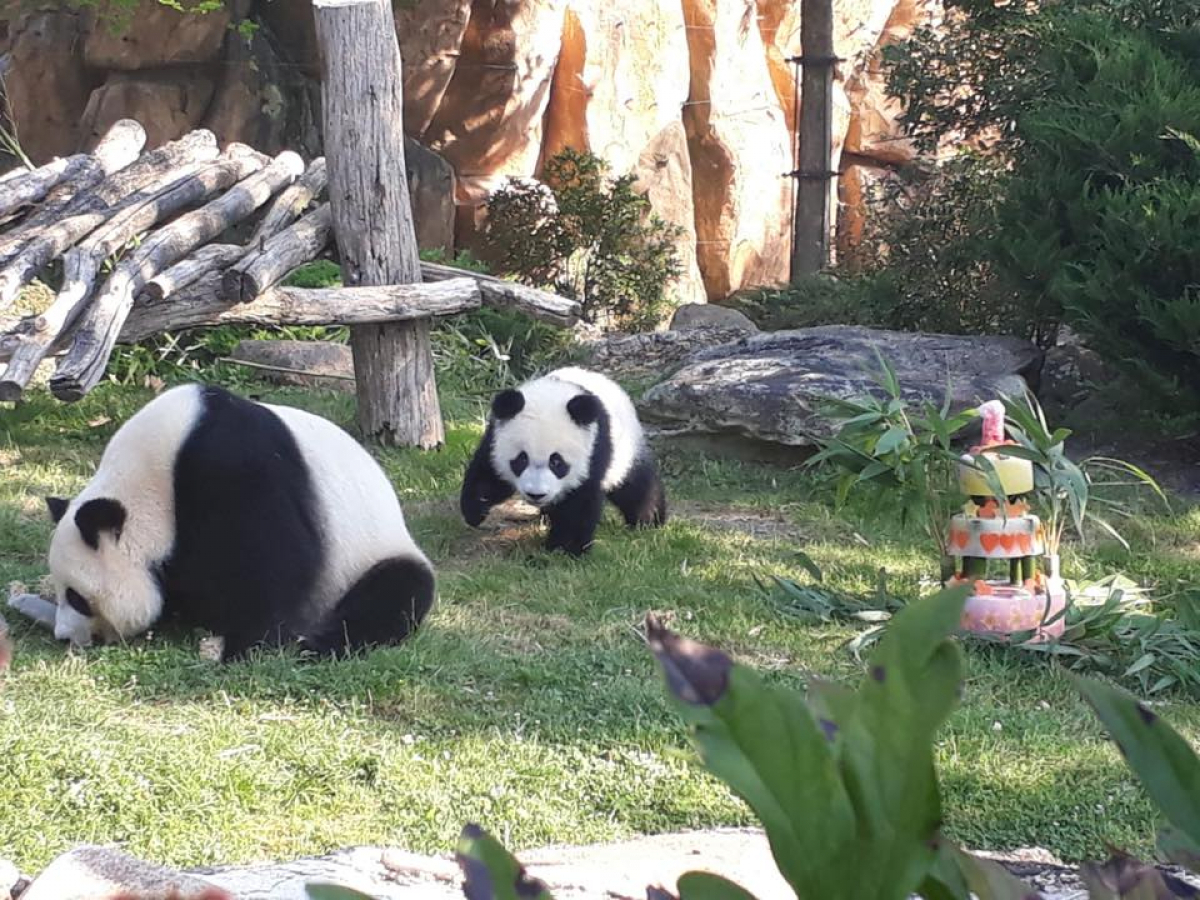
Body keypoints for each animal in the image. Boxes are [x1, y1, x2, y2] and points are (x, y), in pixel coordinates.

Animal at [29, 383, 435, 661]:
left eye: (77, 597)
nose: (64, 636)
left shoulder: (233, 466)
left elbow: (278, 560)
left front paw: (243, 646)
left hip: (369, 554)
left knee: (396, 592)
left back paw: (316, 643)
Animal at [459, 366, 667, 556]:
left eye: (556, 462)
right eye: (521, 459)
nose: (536, 495)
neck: (550, 395)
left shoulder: (593, 451)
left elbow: (578, 503)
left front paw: (565, 549)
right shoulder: (495, 437)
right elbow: (487, 475)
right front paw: (475, 511)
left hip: (625, 451)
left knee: (635, 487)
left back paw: (648, 520)